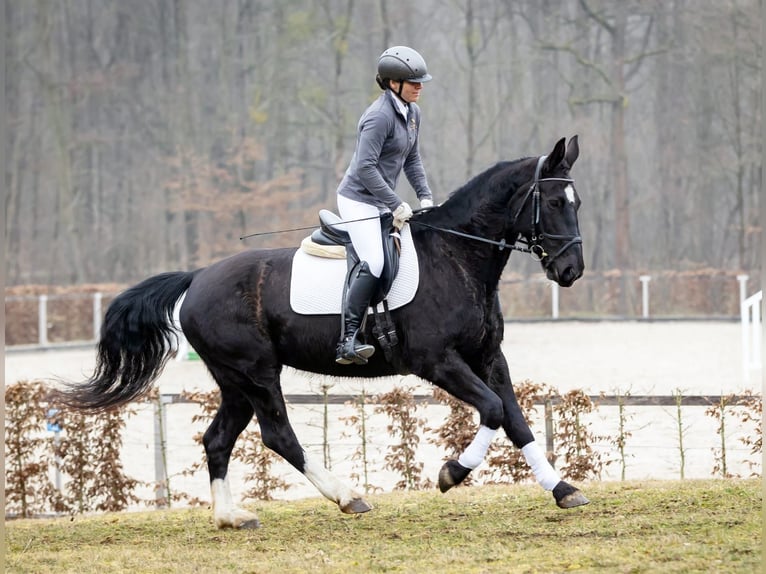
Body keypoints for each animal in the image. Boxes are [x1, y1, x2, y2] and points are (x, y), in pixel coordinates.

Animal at [58, 135, 588, 529]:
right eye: (554, 201)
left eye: (575, 202)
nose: (571, 271)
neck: (457, 256)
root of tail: (197, 276)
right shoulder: (438, 362)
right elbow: (494, 410)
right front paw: (451, 474)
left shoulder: (488, 357)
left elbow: (515, 419)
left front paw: (563, 490)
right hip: (257, 372)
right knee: (278, 435)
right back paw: (348, 496)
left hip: (235, 381)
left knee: (218, 438)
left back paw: (230, 517)